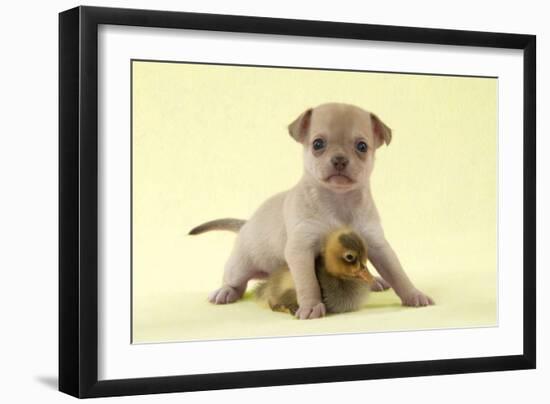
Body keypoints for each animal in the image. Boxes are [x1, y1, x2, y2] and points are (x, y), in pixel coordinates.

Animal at [190, 102, 436, 320]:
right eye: (318, 144)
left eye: (362, 147)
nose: (339, 160)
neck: (338, 201)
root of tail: (246, 223)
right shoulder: (301, 250)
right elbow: (308, 282)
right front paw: (311, 306)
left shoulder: (378, 245)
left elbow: (397, 272)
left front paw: (413, 294)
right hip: (240, 265)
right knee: (235, 281)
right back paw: (225, 291)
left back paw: (375, 281)